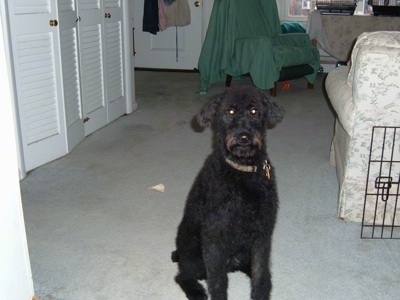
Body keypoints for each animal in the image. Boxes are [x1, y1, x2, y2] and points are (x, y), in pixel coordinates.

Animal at [173, 85, 282, 298]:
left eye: (254, 111)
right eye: (230, 111)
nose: (244, 137)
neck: (241, 171)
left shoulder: (262, 233)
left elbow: (261, 273)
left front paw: (260, 294)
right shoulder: (215, 234)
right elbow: (218, 281)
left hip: (243, 254)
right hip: (192, 250)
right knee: (183, 276)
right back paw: (196, 292)